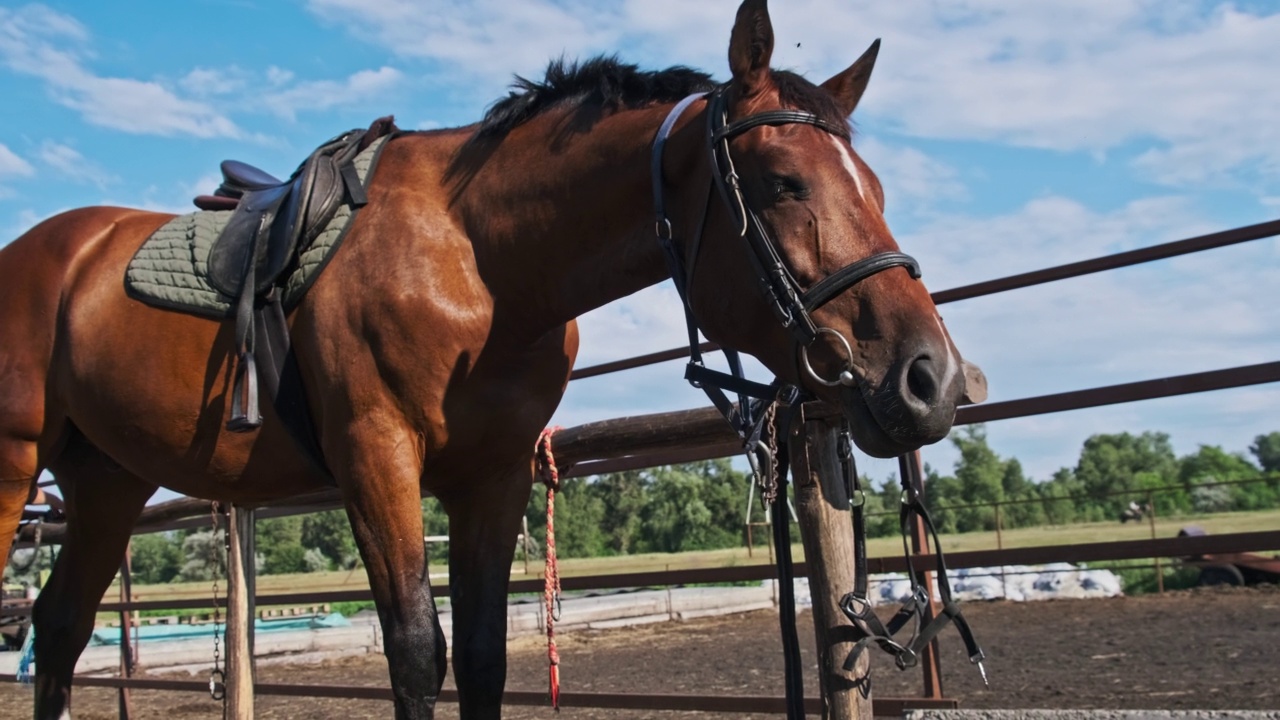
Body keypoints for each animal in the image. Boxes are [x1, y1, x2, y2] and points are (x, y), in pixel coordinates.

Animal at [0, 2, 962, 712]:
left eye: (876, 187)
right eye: (782, 183)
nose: (933, 379)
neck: (480, 260)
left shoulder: (491, 476)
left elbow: (485, 656)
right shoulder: (378, 458)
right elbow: (417, 654)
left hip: (108, 485)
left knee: (60, 628)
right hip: (17, 468)